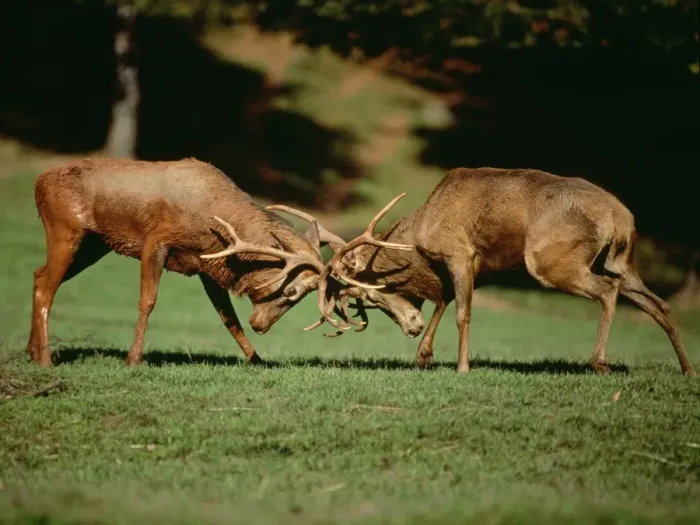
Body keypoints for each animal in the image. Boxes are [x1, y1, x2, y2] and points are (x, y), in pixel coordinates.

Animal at [26, 157, 410, 367]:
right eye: (291, 291)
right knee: (47, 288)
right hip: (66, 228)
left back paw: (31, 351)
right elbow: (147, 302)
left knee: (37, 275)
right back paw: (46, 359)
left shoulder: (206, 266)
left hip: (94, 245)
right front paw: (133, 360)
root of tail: (37, 182)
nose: (262, 325)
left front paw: (256, 359)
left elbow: (228, 319)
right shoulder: (156, 240)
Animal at [272, 167, 696, 377]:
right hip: (622, 260)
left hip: (550, 260)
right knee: (657, 302)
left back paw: (600, 362)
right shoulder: (470, 264)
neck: (421, 237)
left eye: (369, 294)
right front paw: (423, 357)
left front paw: (461, 367)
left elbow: (461, 311)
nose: (409, 327)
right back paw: (688, 369)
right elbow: (443, 300)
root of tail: (621, 216)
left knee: (608, 291)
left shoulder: (460, 252)